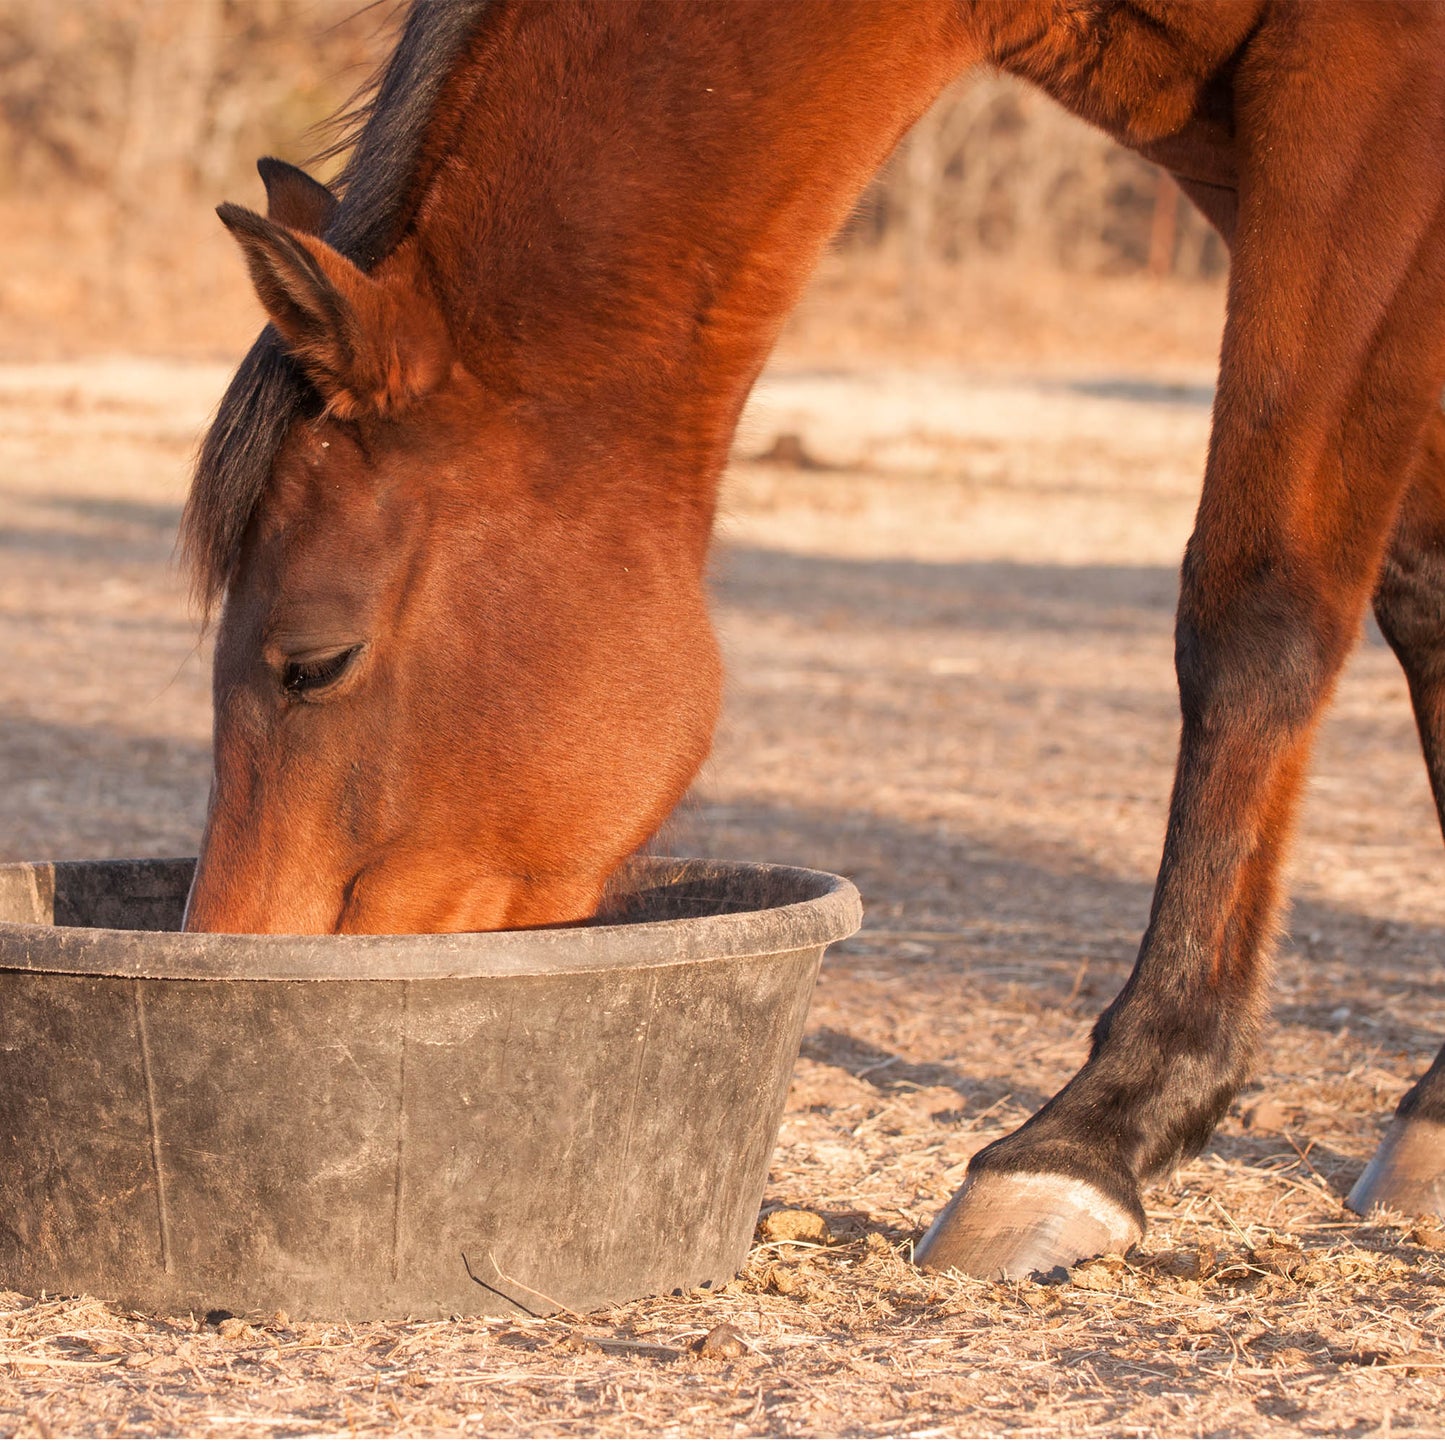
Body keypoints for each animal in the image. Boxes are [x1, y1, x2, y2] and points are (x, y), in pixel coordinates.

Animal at [180, 0, 1445, 1281]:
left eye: (312, 662)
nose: (237, 957)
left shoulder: (1363, 106)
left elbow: (1256, 610)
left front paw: (1097, 1127)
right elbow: (1424, 597)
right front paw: (1432, 1115)